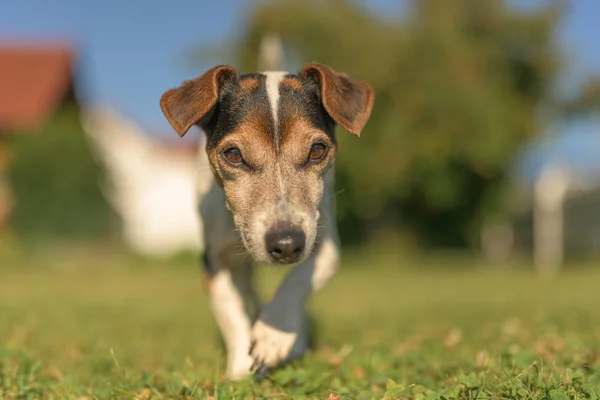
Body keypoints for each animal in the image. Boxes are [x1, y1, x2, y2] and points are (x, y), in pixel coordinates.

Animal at [159, 64, 376, 380]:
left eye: (317, 150)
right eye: (233, 155)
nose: (286, 244)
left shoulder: (325, 244)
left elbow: (298, 282)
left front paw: (274, 336)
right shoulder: (214, 257)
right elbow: (228, 306)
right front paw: (241, 364)